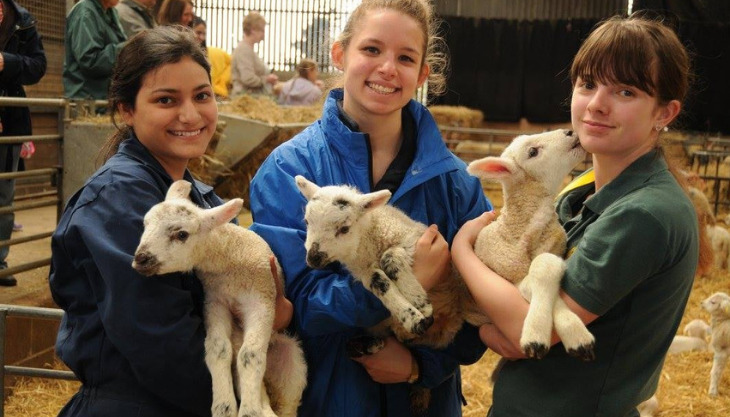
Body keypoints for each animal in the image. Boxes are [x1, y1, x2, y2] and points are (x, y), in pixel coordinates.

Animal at [132, 180, 306, 416]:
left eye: (182, 235)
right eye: (145, 224)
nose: (141, 259)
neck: (228, 260)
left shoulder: (262, 299)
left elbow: (250, 355)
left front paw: (249, 411)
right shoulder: (215, 301)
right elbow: (219, 350)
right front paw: (224, 407)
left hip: (292, 365)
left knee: (286, 402)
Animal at [464, 128, 596, 360]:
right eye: (533, 152)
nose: (569, 131)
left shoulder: (551, 254)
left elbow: (544, 264)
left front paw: (574, 334)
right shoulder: (509, 276)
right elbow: (532, 282)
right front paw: (538, 337)